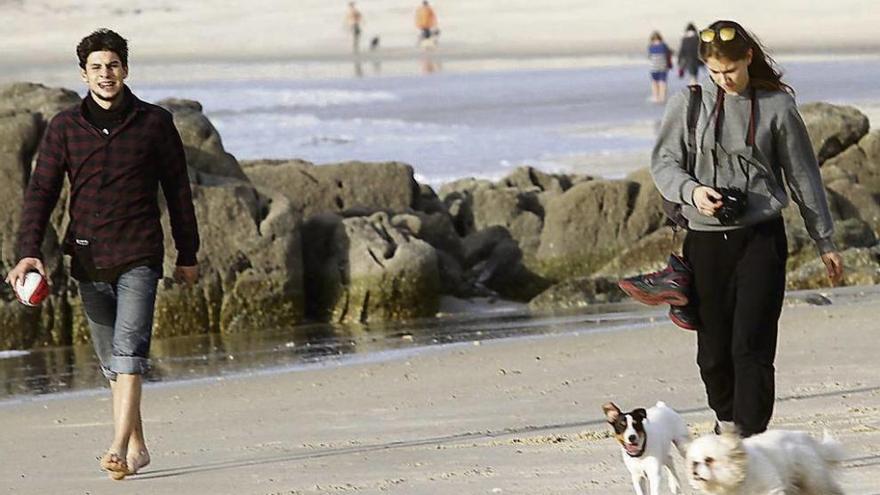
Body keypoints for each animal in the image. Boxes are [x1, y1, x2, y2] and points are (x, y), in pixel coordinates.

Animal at [688, 430, 844, 495]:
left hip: (813, 480)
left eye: (709, 460)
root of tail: (803, 437)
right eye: (693, 462)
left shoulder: (770, 489)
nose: (695, 467)